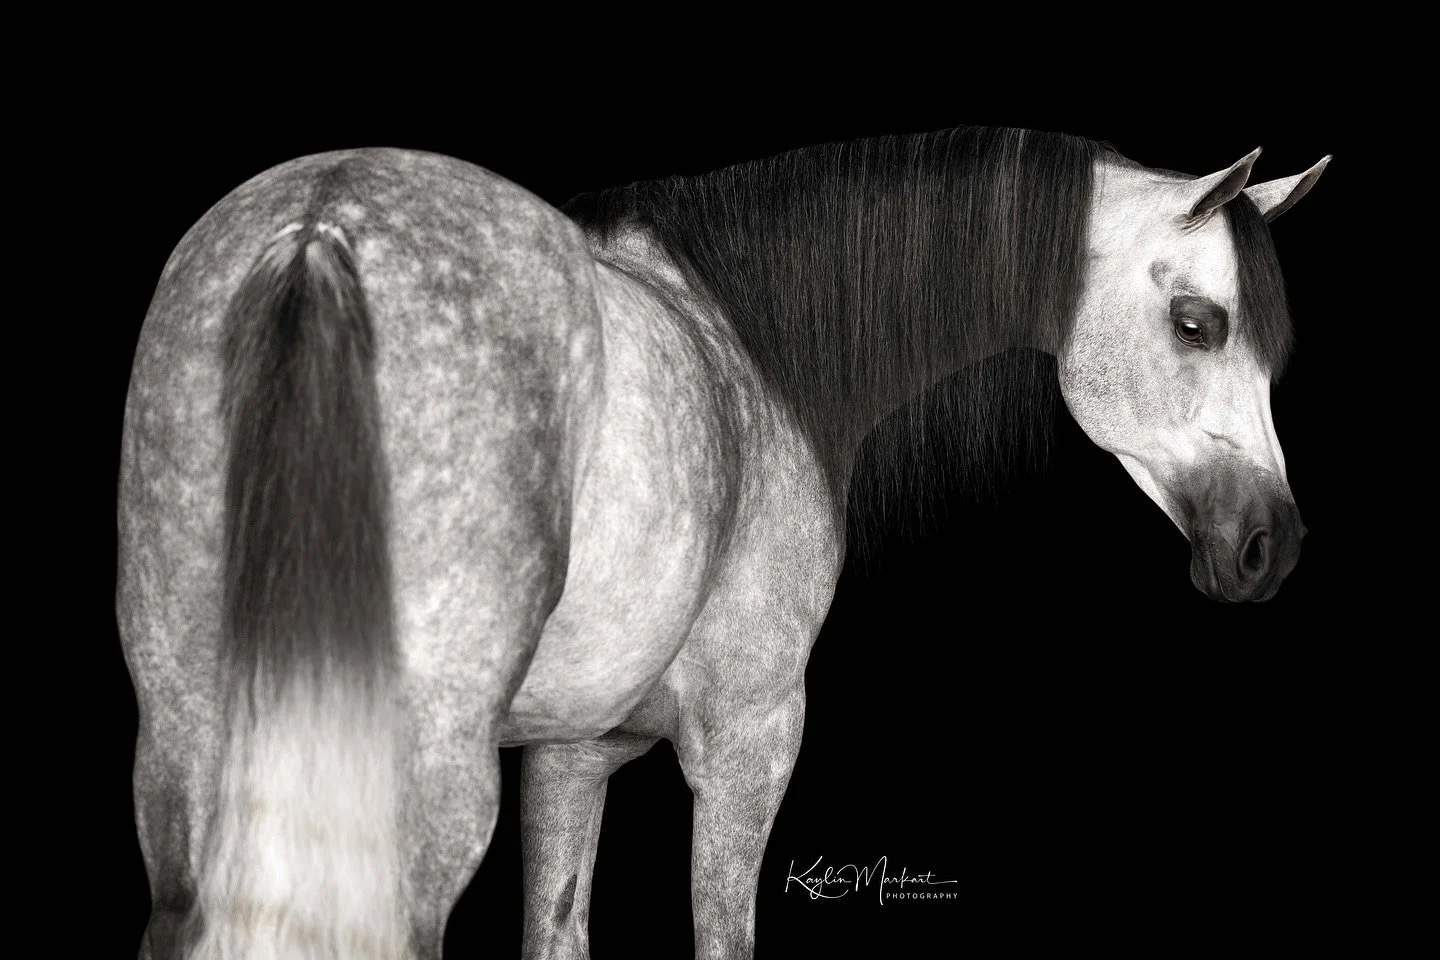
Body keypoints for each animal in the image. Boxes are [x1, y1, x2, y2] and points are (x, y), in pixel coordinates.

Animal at [116, 125, 1328, 959]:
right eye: (1197, 325)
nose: (1269, 546)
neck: (750, 359)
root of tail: (318, 230)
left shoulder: (568, 758)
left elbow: (559, 929)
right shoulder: (751, 743)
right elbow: (722, 933)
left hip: (185, 750)